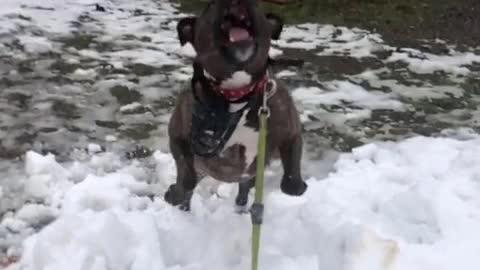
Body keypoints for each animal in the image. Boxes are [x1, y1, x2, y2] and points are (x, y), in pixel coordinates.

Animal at [164, 0, 308, 211]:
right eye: (209, 5)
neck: (237, 95)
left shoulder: (291, 131)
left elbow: (292, 167)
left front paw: (294, 185)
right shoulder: (178, 134)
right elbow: (184, 169)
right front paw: (176, 191)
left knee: (244, 187)